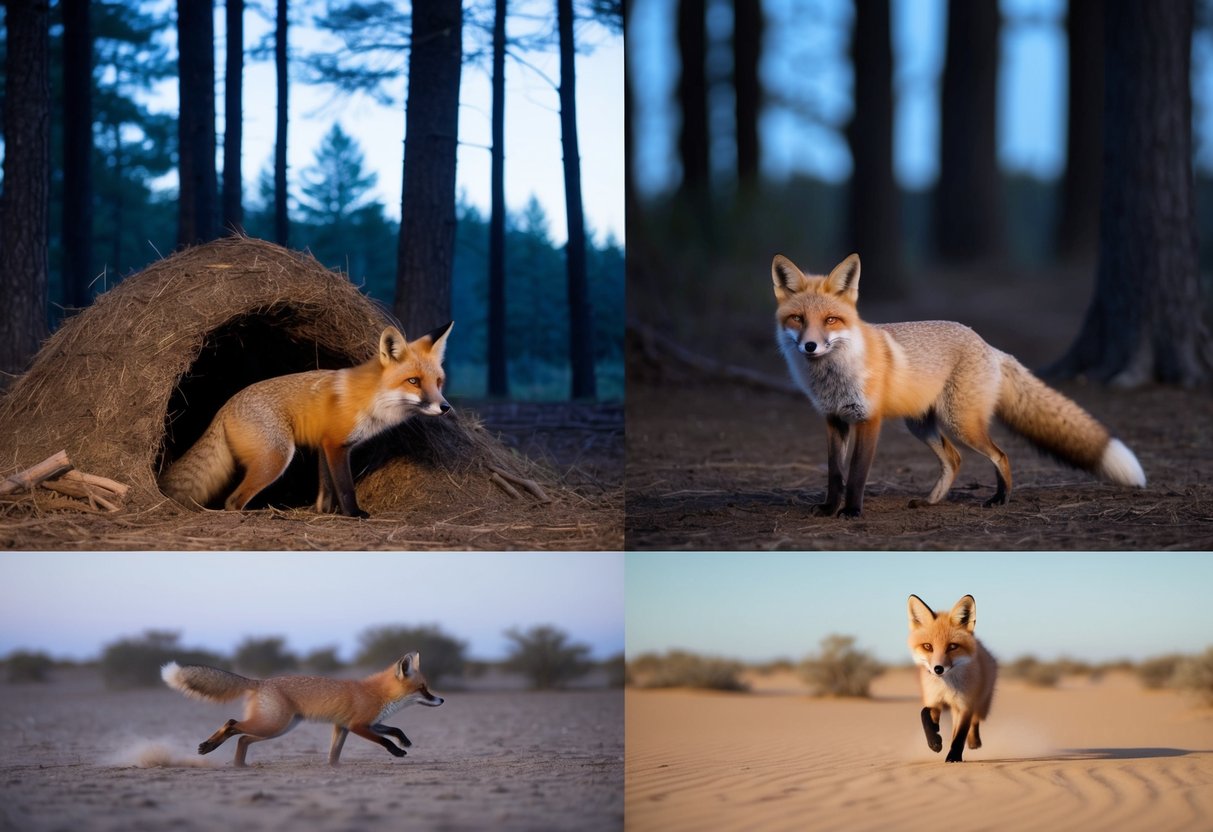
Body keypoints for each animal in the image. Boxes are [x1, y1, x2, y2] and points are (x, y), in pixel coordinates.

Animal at [159, 322, 453, 518]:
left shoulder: (323, 445)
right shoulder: (335, 444)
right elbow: (345, 487)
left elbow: (326, 489)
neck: (372, 399)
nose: (445, 407)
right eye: (413, 381)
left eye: (438, 382)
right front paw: (354, 514)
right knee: (232, 501)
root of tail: (225, 406)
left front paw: (324, 512)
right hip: (276, 458)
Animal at [161, 652, 444, 767]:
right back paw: (209, 747)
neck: (379, 694)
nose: (441, 700)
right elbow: (383, 740)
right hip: (274, 725)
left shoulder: (349, 725)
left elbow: (393, 728)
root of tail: (260, 681)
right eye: (424, 689)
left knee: (243, 738)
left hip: (278, 728)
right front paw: (397, 751)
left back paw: (240, 766)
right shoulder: (357, 725)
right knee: (232, 724)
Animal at [771, 253, 1146, 516]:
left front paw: (851, 511)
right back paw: (930, 502)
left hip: (961, 424)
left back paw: (1001, 499)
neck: (832, 377)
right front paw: (829, 508)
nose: (810, 346)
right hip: (922, 426)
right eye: (798, 320)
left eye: (831, 320)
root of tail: (988, 345)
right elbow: (835, 473)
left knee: (1000, 454)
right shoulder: (834, 419)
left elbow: (857, 474)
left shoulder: (868, 419)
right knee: (954, 460)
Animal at [907, 594, 997, 763]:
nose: (938, 669)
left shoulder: (965, 705)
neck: (946, 686)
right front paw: (934, 741)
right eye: (928, 646)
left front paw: (953, 757)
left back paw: (974, 742)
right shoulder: (935, 701)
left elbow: (960, 736)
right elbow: (924, 714)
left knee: (975, 722)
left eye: (953, 646)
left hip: (982, 705)